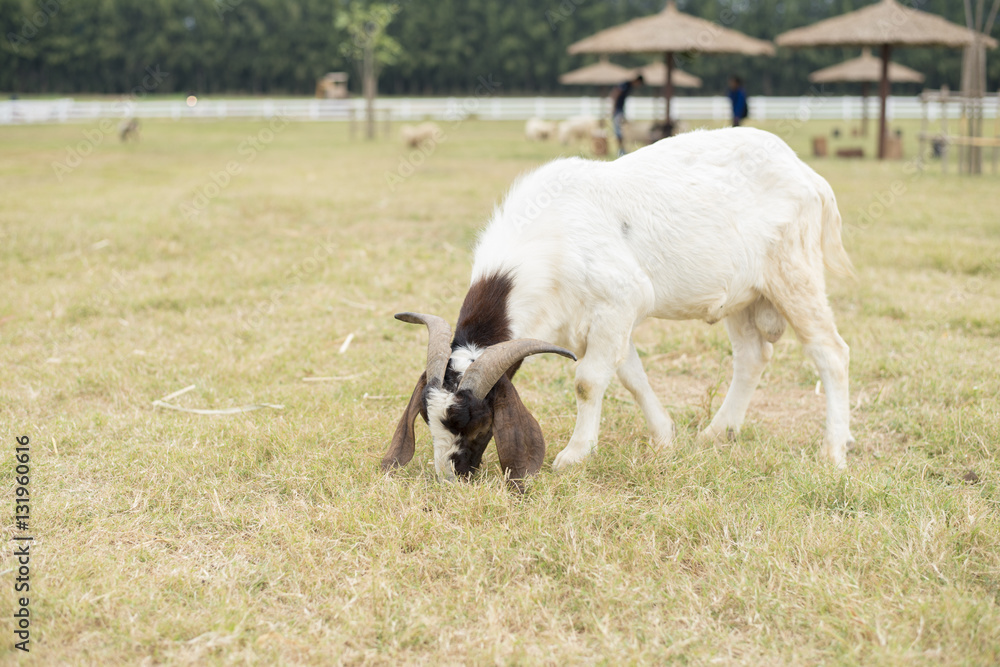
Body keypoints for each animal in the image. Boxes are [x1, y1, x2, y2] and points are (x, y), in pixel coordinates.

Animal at [383, 127, 855, 488]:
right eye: (427, 417)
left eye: (477, 422)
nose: (451, 475)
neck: (549, 234)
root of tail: (809, 175)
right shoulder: (590, 322)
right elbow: (631, 375)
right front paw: (664, 437)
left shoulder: (618, 302)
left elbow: (588, 381)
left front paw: (574, 455)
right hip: (744, 293)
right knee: (753, 356)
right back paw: (716, 433)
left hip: (794, 273)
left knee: (831, 352)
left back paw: (834, 450)